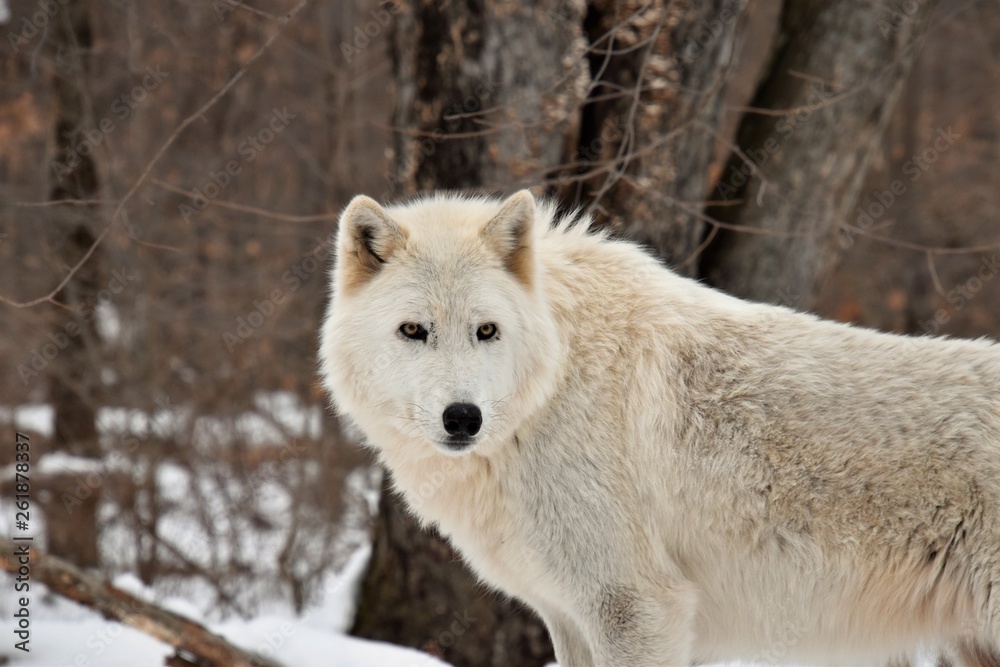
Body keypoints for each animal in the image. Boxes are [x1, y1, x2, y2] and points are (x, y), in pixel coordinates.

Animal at [318, 189, 1000, 667]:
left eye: (486, 330)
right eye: (414, 330)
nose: (463, 417)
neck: (554, 386)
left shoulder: (636, 606)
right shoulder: (569, 615)